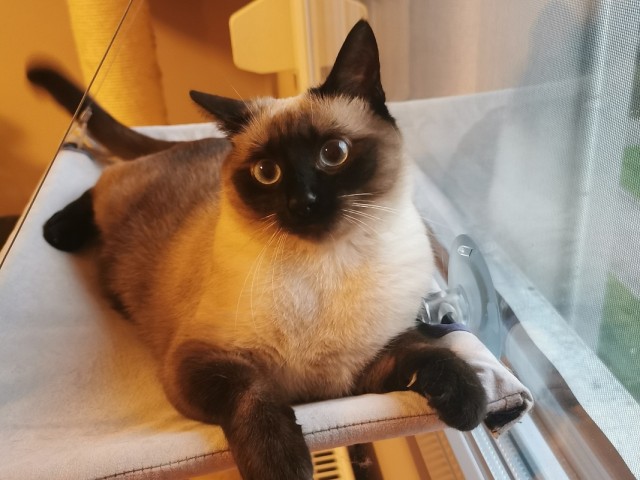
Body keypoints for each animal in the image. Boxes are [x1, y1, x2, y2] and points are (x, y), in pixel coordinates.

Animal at [29, 20, 486, 480]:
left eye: (334, 153)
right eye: (268, 172)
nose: (303, 203)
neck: (325, 265)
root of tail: (191, 143)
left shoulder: (363, 369)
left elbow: (430, 353)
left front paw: (469, 401)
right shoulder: (202, 359)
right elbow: (253, 393)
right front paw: (281, 463)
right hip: (118, 202)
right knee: (98, 183)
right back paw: (57, 232)